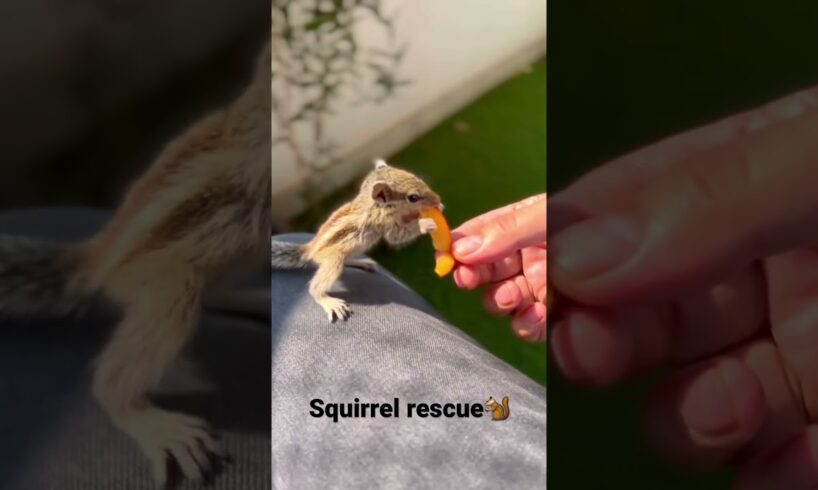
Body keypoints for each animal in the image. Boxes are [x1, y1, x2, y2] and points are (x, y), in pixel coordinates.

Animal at [270, 161, 440, 322]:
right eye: (413, 198)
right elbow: (399, 235)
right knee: (314, 288)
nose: (437, 199)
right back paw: (329, 302)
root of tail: (308, 250)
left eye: (419, 179)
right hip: (334, 259)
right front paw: (424, 223)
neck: (374, 204)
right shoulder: (387, 225)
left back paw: (364, 263)